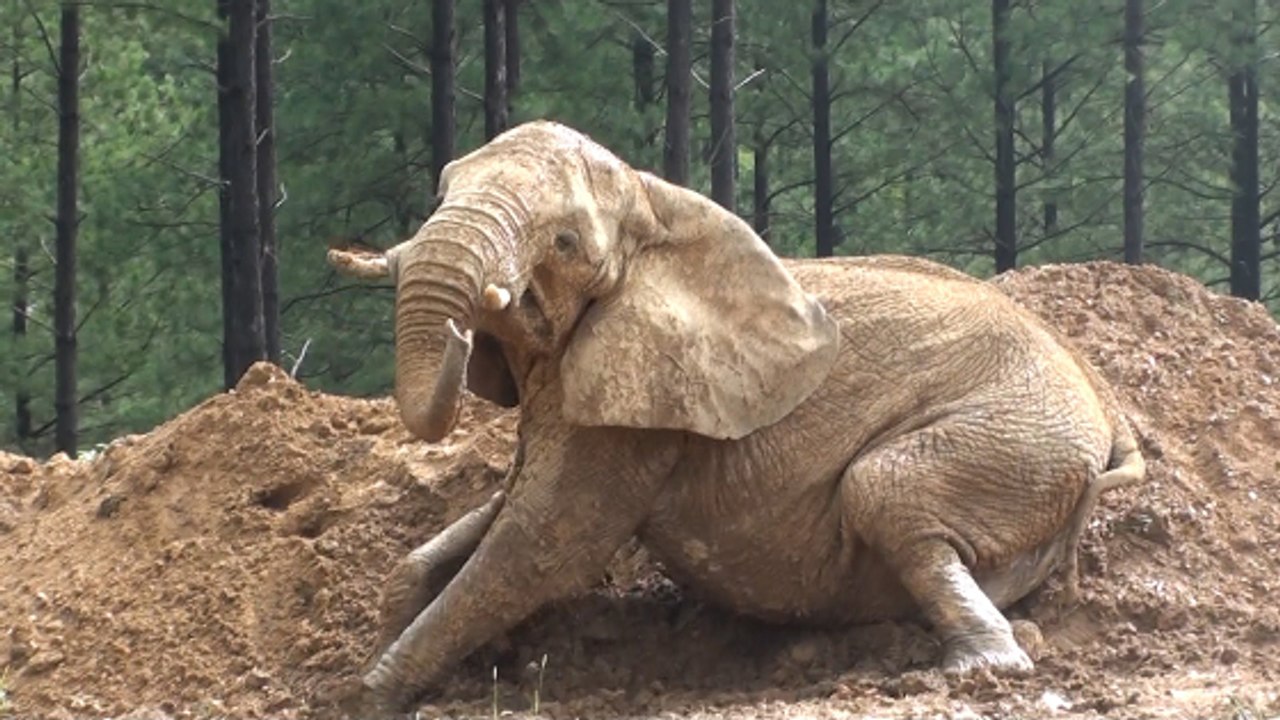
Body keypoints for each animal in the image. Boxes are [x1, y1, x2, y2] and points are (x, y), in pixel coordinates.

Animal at [325, 120, 1145, 715]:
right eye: (441, 191)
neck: (656, 202)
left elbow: (542, 546)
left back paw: (977, 666)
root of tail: (1110, 416)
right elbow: (498, 515)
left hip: (1016, 438)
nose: (467, 327)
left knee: (884, 489)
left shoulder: (639, 408)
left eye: (563, 241)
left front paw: (367, 697)